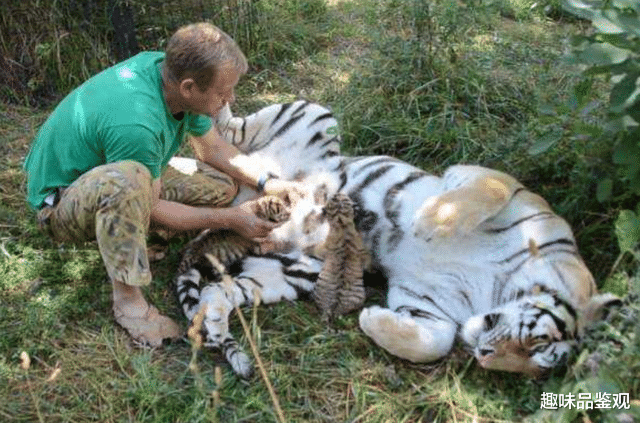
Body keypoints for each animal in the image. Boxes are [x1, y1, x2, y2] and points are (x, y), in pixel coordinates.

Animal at [171, 101, 620, 380]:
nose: (485, 357)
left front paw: (372, 319)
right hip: (314, 115)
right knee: (229, 134)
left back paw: (215, 327)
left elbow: (434, 341)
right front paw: (430, 221)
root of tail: (242, 200)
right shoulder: (507, 188)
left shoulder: (428, 304)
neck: (495, 291)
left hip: (290, 271)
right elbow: (484, 192)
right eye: (538, 341)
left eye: (535, 364)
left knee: (216, 291)